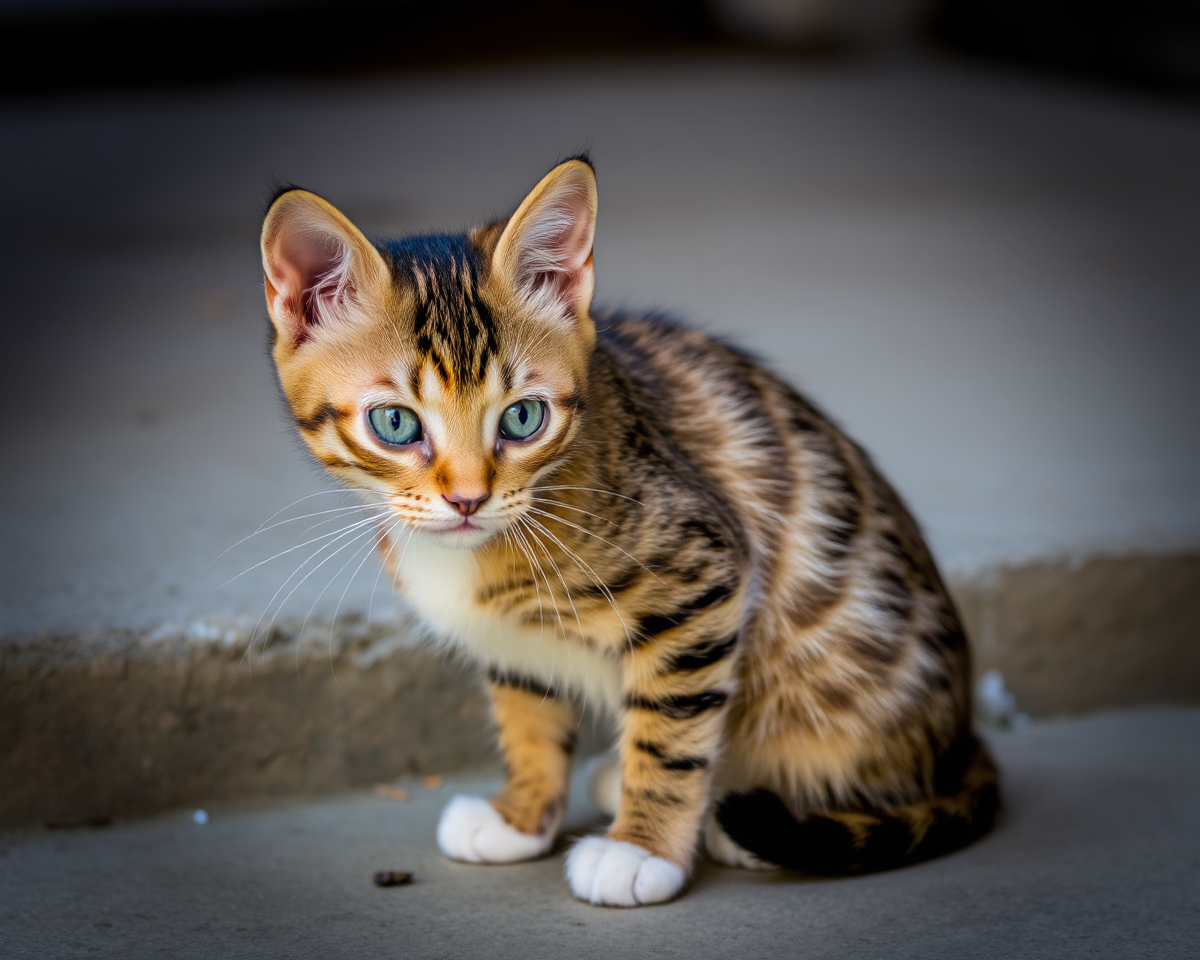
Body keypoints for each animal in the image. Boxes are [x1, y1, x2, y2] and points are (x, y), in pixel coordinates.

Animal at [260, 157, 993, 907]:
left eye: (522, 418)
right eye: (396, 423)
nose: (468, 499)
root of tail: (961, 734)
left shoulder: (701, 571)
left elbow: (671, 729)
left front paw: (642, 848)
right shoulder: (512, 636)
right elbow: (528, 709)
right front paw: (521, 815)